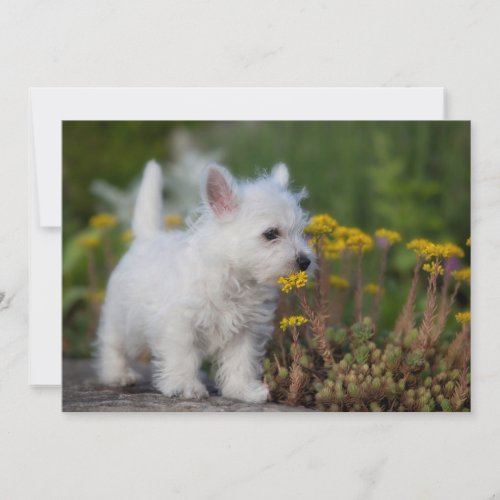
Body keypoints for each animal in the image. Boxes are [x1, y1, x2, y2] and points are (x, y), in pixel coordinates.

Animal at [94, 160, 312, 402]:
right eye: (271, 234)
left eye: (300, 231)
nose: (305, 261)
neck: (232, 277)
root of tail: (146, 238)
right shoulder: (181, 325)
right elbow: (184, 356)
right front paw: (185, 386)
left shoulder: (245, 330)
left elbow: (241, 361)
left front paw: (242, 390)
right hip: (124, 321)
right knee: (112, 344)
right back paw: (117, 374)